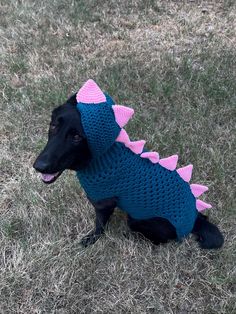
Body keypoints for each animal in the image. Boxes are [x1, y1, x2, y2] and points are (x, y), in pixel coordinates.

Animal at [32, 94, 223, 249]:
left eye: (77, 137)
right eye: (53, 126)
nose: (39, 166)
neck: (101, 158)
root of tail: (195, 220)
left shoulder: (104, 204)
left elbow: (99, 225)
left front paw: (91, 240)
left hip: (136, 219)